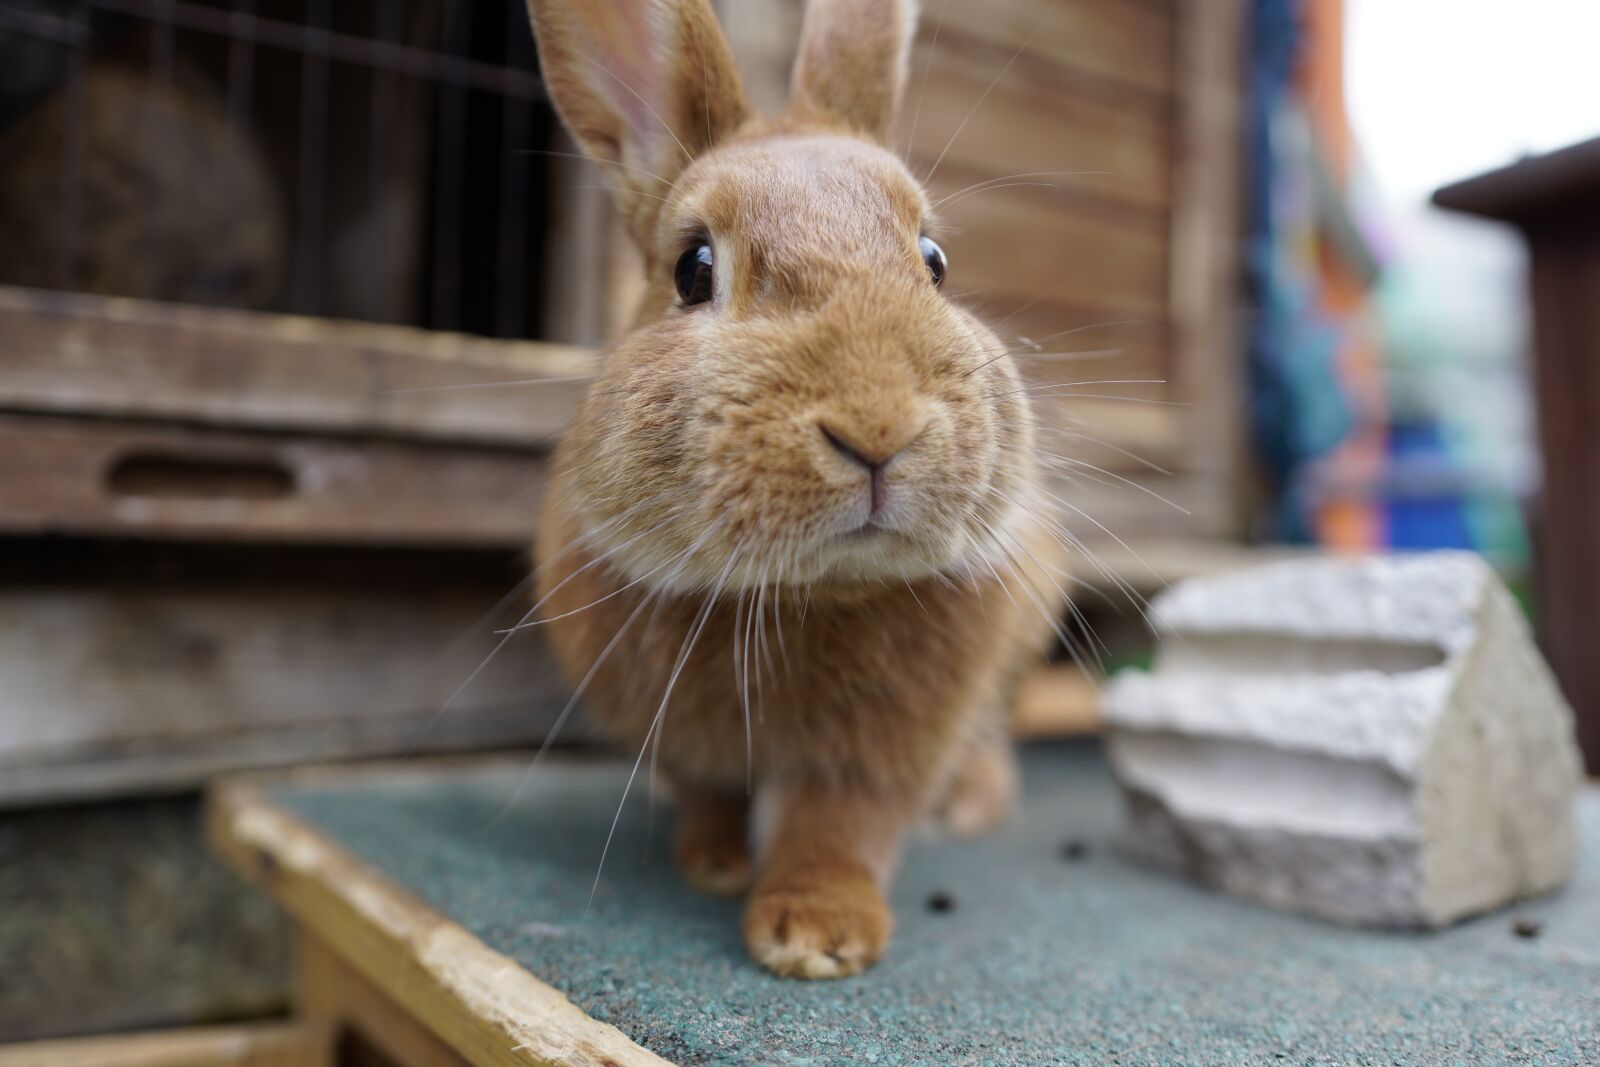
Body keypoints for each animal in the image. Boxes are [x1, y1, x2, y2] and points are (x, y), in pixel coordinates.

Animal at [531, 0, 1068, 979]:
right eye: (693, 269)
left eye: (934, 260)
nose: (877, 429)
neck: (804, 592)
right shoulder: (683, 743)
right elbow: (707, 795)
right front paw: (712, 863)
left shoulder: (874, 757)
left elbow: (838, 825)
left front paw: (816, 934)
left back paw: (970, 804)